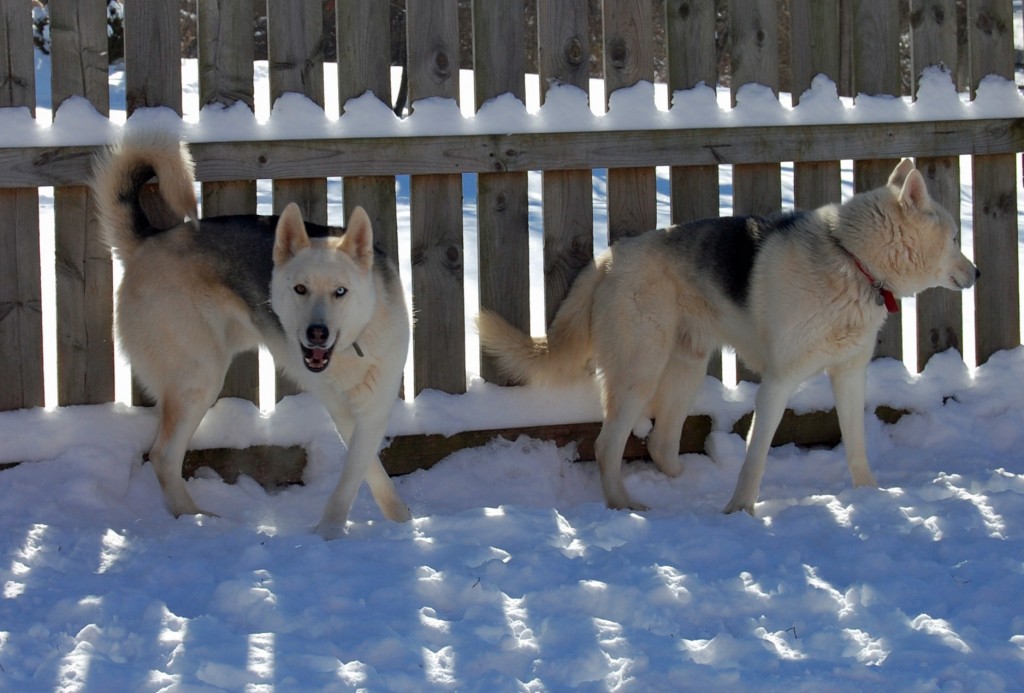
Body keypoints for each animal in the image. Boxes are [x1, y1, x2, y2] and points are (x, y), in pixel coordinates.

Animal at [479, 157, 974, 513]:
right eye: (954, 239)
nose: (978, 272)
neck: (851, 259)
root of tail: (607, 259)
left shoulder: (849, 376)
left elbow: (856, 447)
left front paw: (868, 495)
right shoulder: (776, 384)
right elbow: (756, 457)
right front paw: (740, 510)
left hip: (687, 368)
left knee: (660, 444)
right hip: (640, 374)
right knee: (606, 446)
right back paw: (624, 505)